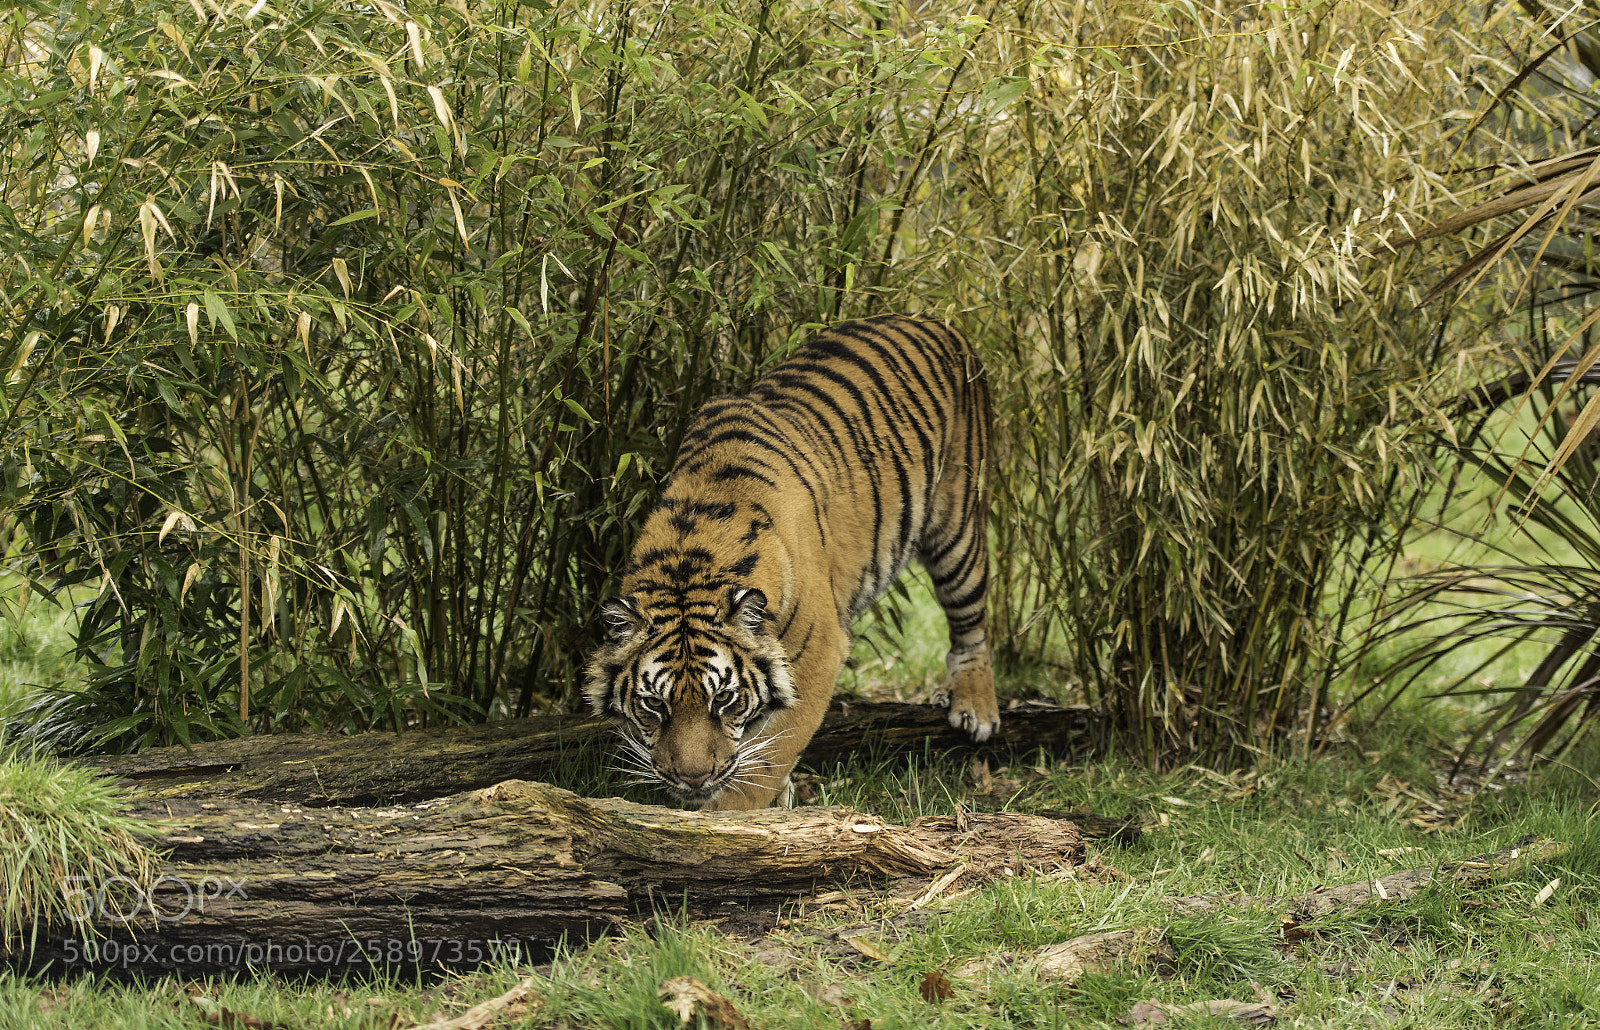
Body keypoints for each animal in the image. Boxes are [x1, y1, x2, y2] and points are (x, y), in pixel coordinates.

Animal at [583, 313, 1000, 811]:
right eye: (654, 705)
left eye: (723, 700)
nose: (693, 779)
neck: (690, 556)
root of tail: (937, 319)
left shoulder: (818, 654)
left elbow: (765, 760)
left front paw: (727, 818)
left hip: (958, 525)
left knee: (972, 623)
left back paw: (974, 707)